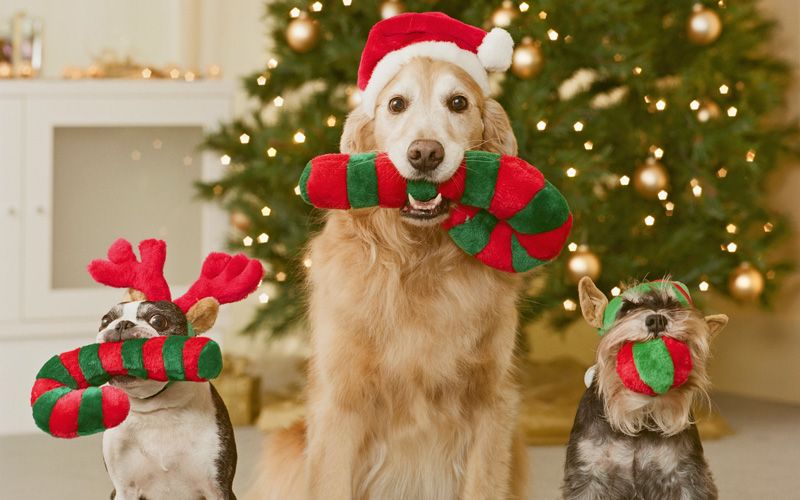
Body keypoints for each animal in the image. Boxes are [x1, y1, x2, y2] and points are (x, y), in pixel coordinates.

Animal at [97, 296, 238, 500]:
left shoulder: (217, 489)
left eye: (158, 320)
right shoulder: (124, 490)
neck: (157, 407)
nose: (122, 324)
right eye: (106, 321)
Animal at [564, 278, 724, 500]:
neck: (639, 416)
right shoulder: (588, 476)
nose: (657, 320)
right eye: (628, 307)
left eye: (673, 305)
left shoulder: (684, 476)